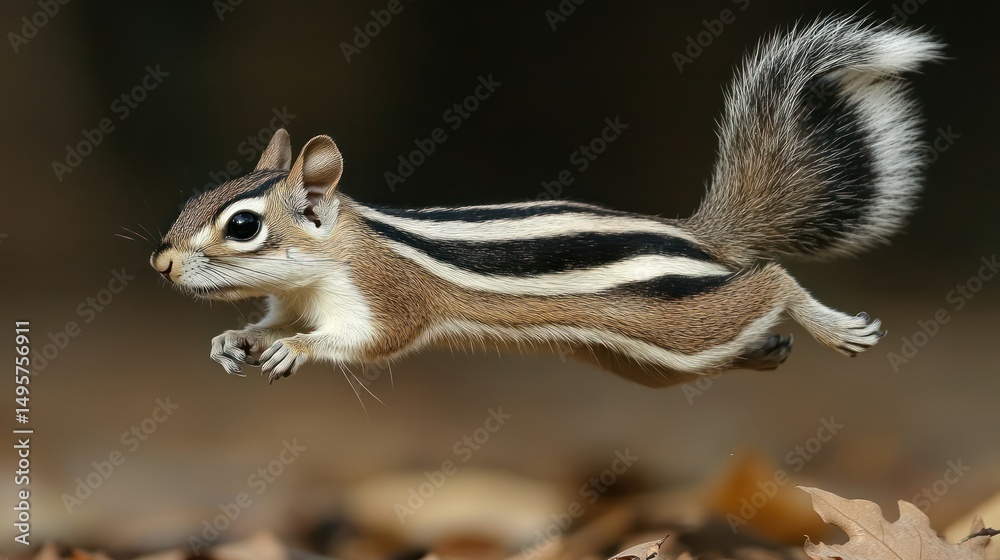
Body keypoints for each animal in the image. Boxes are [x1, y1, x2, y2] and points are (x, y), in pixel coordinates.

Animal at [151, 17, 941, 387]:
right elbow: (267, 323)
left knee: (771, 281)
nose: (161, 265)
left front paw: (295, 350)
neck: (329, 261)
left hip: (677, 323)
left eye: (243, 226)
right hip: (654, 361)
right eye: (197, 199)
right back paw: (771, 351)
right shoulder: (293, 298)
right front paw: (236, 341)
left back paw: (836, 328)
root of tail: (696, 235)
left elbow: (371, 341)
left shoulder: (385, 296)